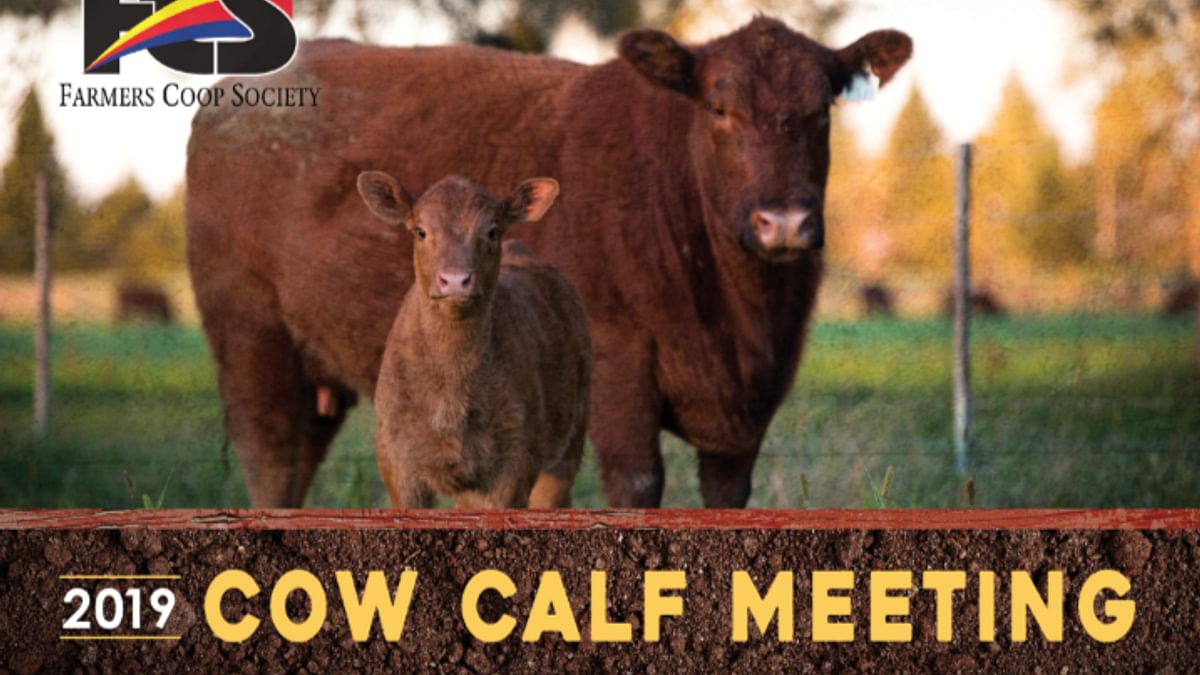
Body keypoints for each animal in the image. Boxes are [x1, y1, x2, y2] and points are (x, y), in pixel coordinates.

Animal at [360, 172, 590, 508]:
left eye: (492, 230)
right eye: (421, 231)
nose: (456, 280)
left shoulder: (515, 457)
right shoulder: (394, 454)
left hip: (571, 438)